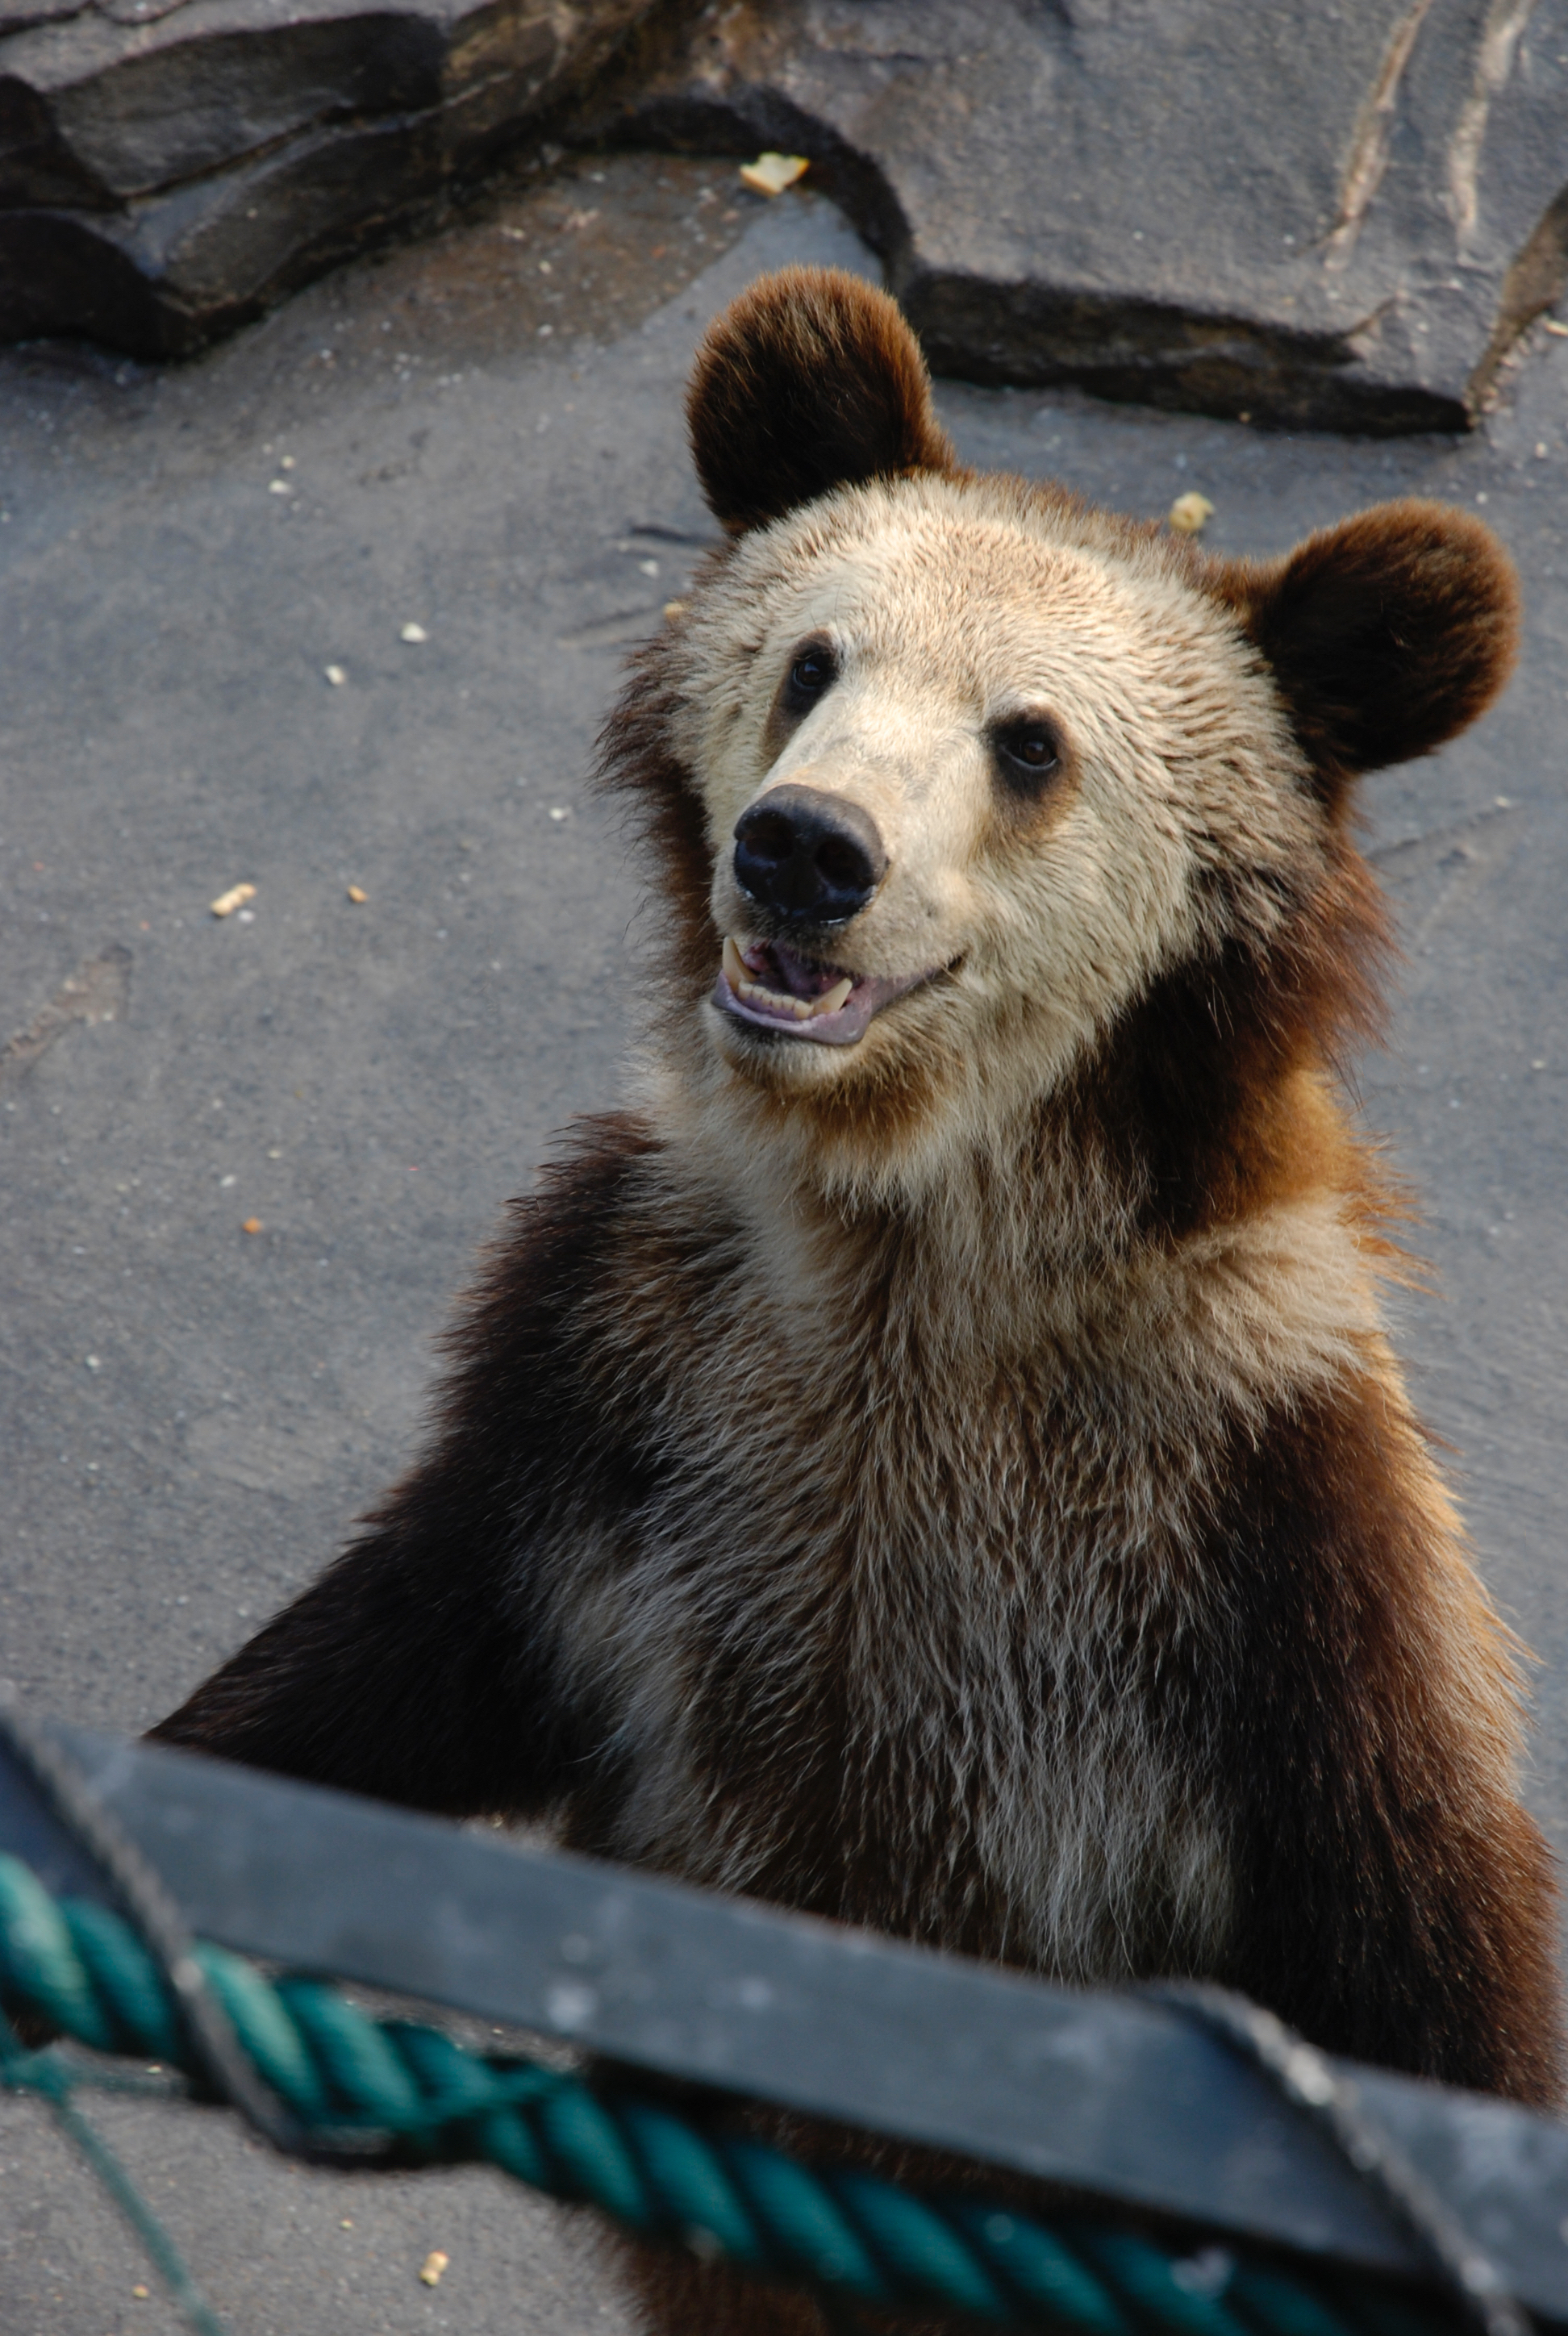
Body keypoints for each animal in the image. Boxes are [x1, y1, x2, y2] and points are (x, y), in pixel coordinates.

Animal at [152, 260, 1561, 2317]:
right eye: (814, 660)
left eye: (1028, 740)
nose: (804, 850)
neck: (908, 1234)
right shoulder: (632, 1364)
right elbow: (381, 1663)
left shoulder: (1252, 1520)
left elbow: (1413, 1942)